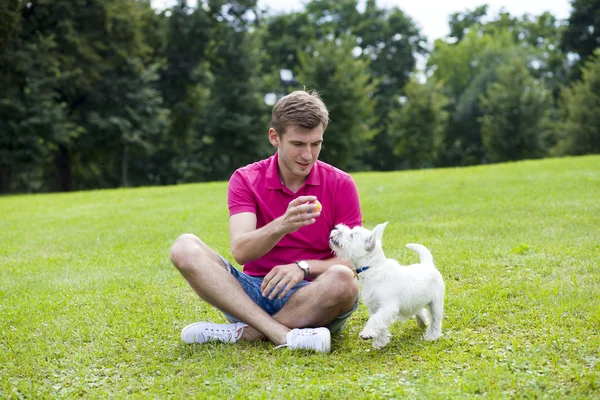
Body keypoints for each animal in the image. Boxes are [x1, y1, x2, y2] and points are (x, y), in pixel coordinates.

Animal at [330, 220, 442, 348]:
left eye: (352, 236)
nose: (335, 228)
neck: (373, 268)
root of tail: (428, 264)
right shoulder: (375, 307)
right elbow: (379, 323)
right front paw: (379, 342)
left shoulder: (387, 307)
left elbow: (375, 320)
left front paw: (367, 333)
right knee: (419, 310)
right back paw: (422, 322)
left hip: (436, 303)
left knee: (436, 320)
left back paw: (432, 336)